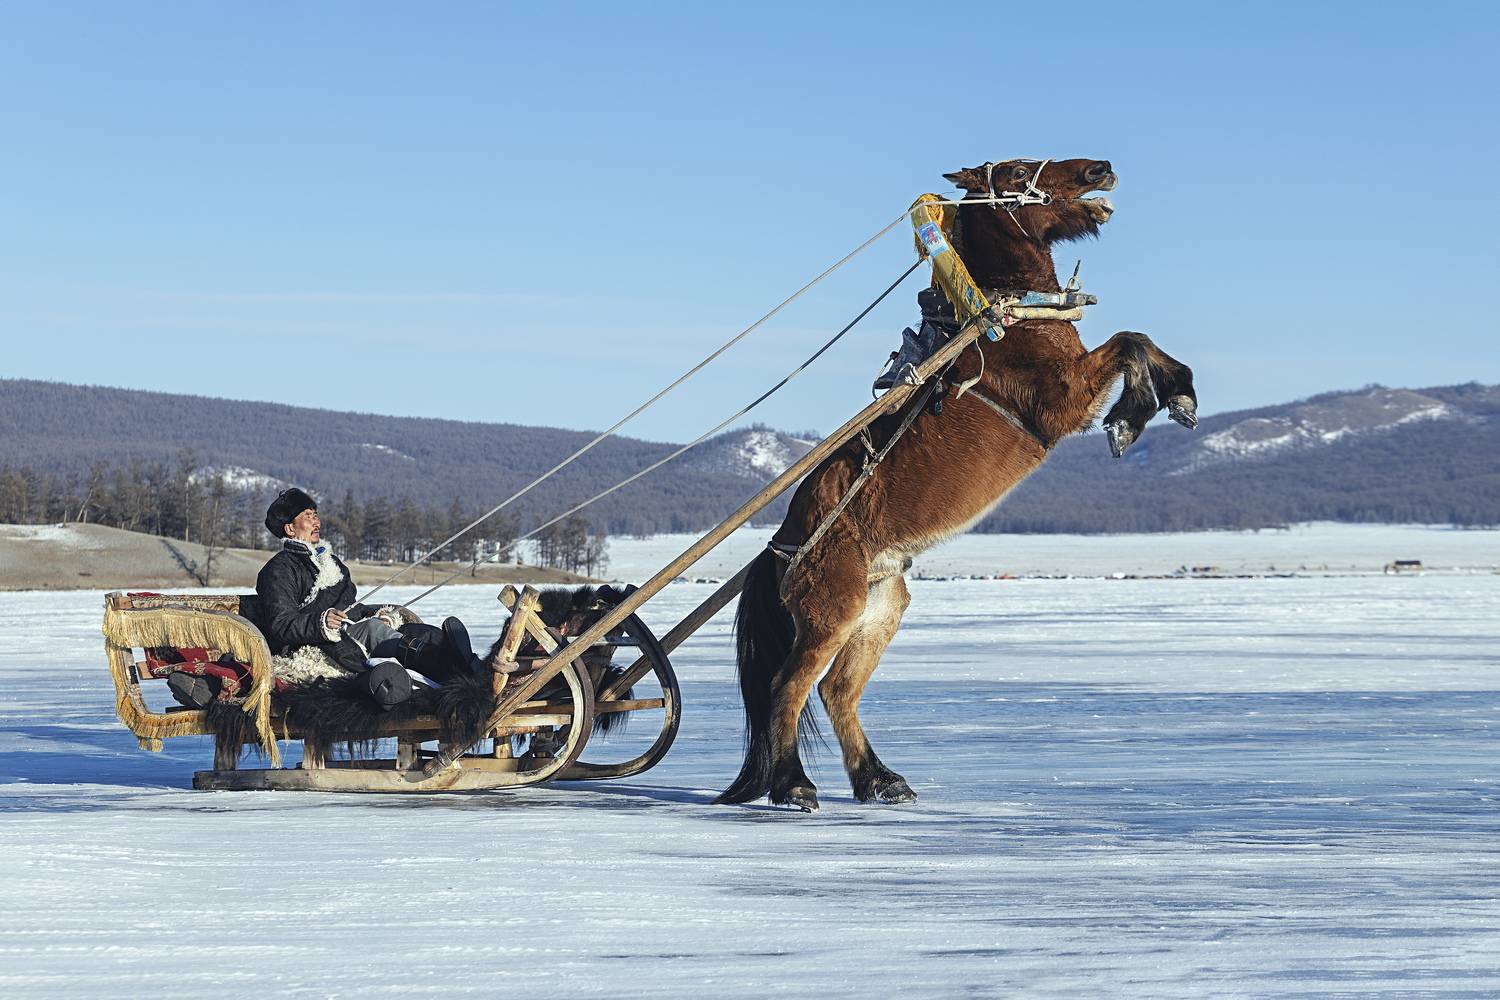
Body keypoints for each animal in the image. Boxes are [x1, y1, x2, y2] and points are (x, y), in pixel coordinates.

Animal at [716, 157, 1199, 812]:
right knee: (787, 684)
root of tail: (780, 546)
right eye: (1016, 171)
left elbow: (1142, 342)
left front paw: (1178, 395)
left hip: (879, 607)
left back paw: (879, 779)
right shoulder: (1062, 401)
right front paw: (1133, 415)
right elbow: (1130, 343)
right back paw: (793, 784)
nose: (1100, 170)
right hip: (832, 611)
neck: (1008, 321)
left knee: (838, 689)